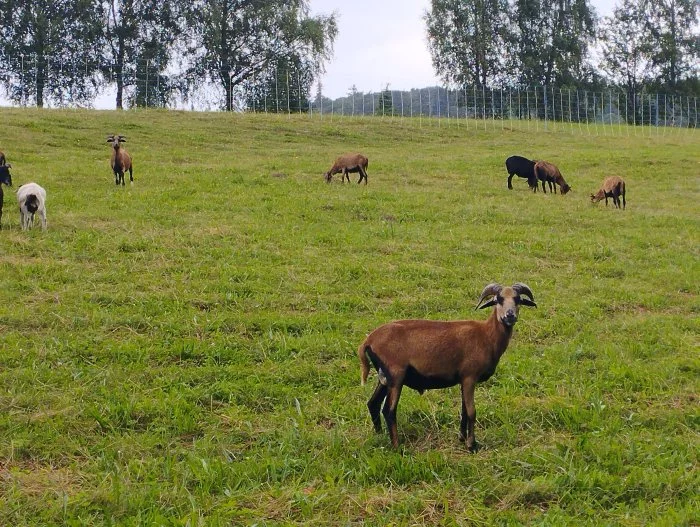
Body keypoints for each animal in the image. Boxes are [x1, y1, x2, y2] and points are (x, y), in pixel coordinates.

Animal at [360, 282, 536, 452]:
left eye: (518, 299)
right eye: (498, 299)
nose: (510, 316)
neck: (486, 335)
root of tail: (368, 341)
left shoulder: (463, 380)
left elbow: (464, 411)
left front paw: (462, 438)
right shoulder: (470, 377)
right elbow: (471, 412)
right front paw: (472, 446)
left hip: (385, 377)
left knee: (373, 403)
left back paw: (380, 437)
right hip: (396, 375)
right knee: (389, 411)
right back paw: (398, 447)